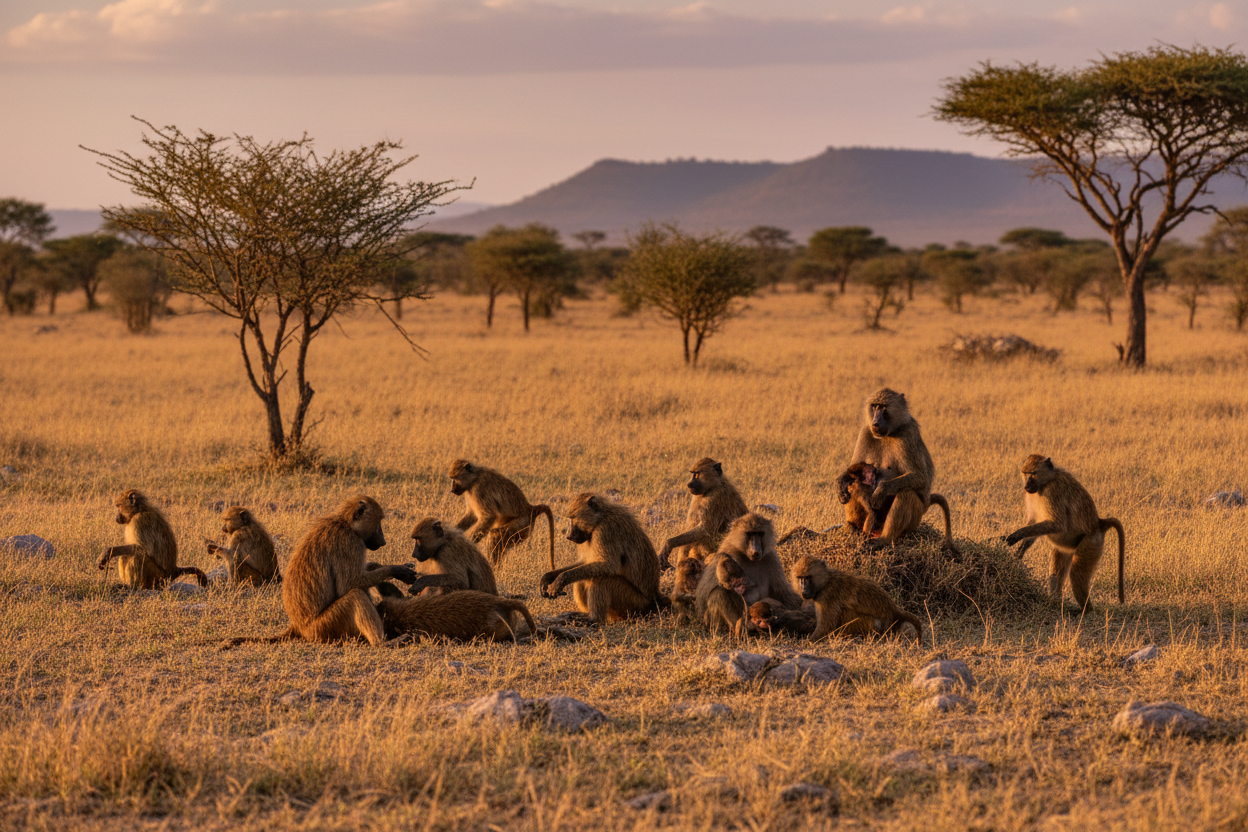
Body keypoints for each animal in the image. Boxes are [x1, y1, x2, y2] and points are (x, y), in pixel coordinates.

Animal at [221, 496, 418, 648]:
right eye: (378, 523)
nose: (383, 541)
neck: (345, 523)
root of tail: (298, 626)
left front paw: (380, 566)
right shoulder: (350, 542)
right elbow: (349, 584)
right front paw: (397, 570)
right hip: (324, 627)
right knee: (356, 595)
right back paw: (383, 643)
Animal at [539, 492, 661, 623]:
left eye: (573, 518)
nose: (568, 536)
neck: (600, 519)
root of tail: (654, 598)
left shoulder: (606, 530)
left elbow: (608, 565)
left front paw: (560, 580)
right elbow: (585, 562)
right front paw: (548, 577)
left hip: (635, 602)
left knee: (601, 578)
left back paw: (593, 619)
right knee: (584, 577)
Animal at [792, 555, 923, 641]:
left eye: (808, 577)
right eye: (800, 578)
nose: (803, 588)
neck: (826, 581)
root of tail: (895, 613)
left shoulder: (827, 597)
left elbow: (825, 628)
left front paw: (807, 642)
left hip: (873, 625)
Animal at [835, 388, 957, 552]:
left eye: (884, 407)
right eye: (875, 406)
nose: (875, 423)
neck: (890, 433)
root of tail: (926, 504)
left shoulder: (907, 434)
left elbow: (920, 478)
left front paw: (879, 491)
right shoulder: (865, 432)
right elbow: (852, 470)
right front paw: (840, 485)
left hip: (915, 518)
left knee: (906, 492)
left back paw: (884, 539)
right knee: (854, 485)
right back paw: (852, 526)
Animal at [1004, 454, 1125, 609]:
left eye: (1033, 473)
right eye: (1025, 474)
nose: (1026, 487)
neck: (1046, 482)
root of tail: (1099, 523)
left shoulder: (1053, 491)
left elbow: (1057, 524)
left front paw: (1018, 534)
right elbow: (1034, 522)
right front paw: (1020, 551)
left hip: (1091, 542)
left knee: (1076, 574)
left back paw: (1086, 610)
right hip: (1066, 548)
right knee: (1056, 570)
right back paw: (1055, 601)